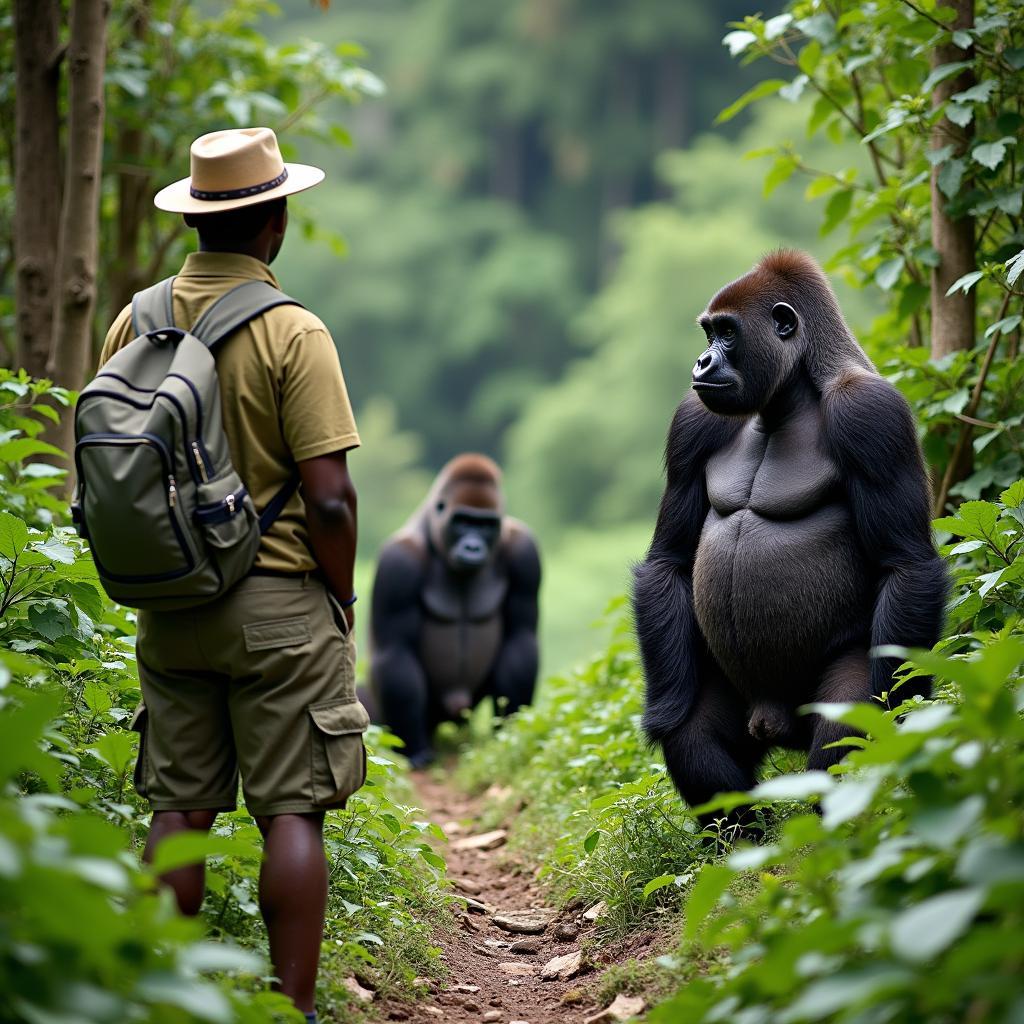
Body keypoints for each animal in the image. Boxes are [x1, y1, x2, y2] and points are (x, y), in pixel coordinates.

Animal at [370, 456, 544, 770]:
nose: (473, 547)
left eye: (486, 524)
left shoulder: (524, 550)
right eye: (462, 521)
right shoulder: (398, 562)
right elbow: (395, 651)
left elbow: (521, 637)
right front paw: (415, 748)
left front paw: (508, 736)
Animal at [630, 249, 950, 815]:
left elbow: (905, 565)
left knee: (840, 735)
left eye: (727, 333)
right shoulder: (692, 420)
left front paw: (894, 714)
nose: (702, 362)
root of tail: (774, 725)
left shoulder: (871, 414)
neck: (793, 392)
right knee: (697, 738)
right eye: (709, 332)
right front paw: (668, 706)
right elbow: (669, 560)